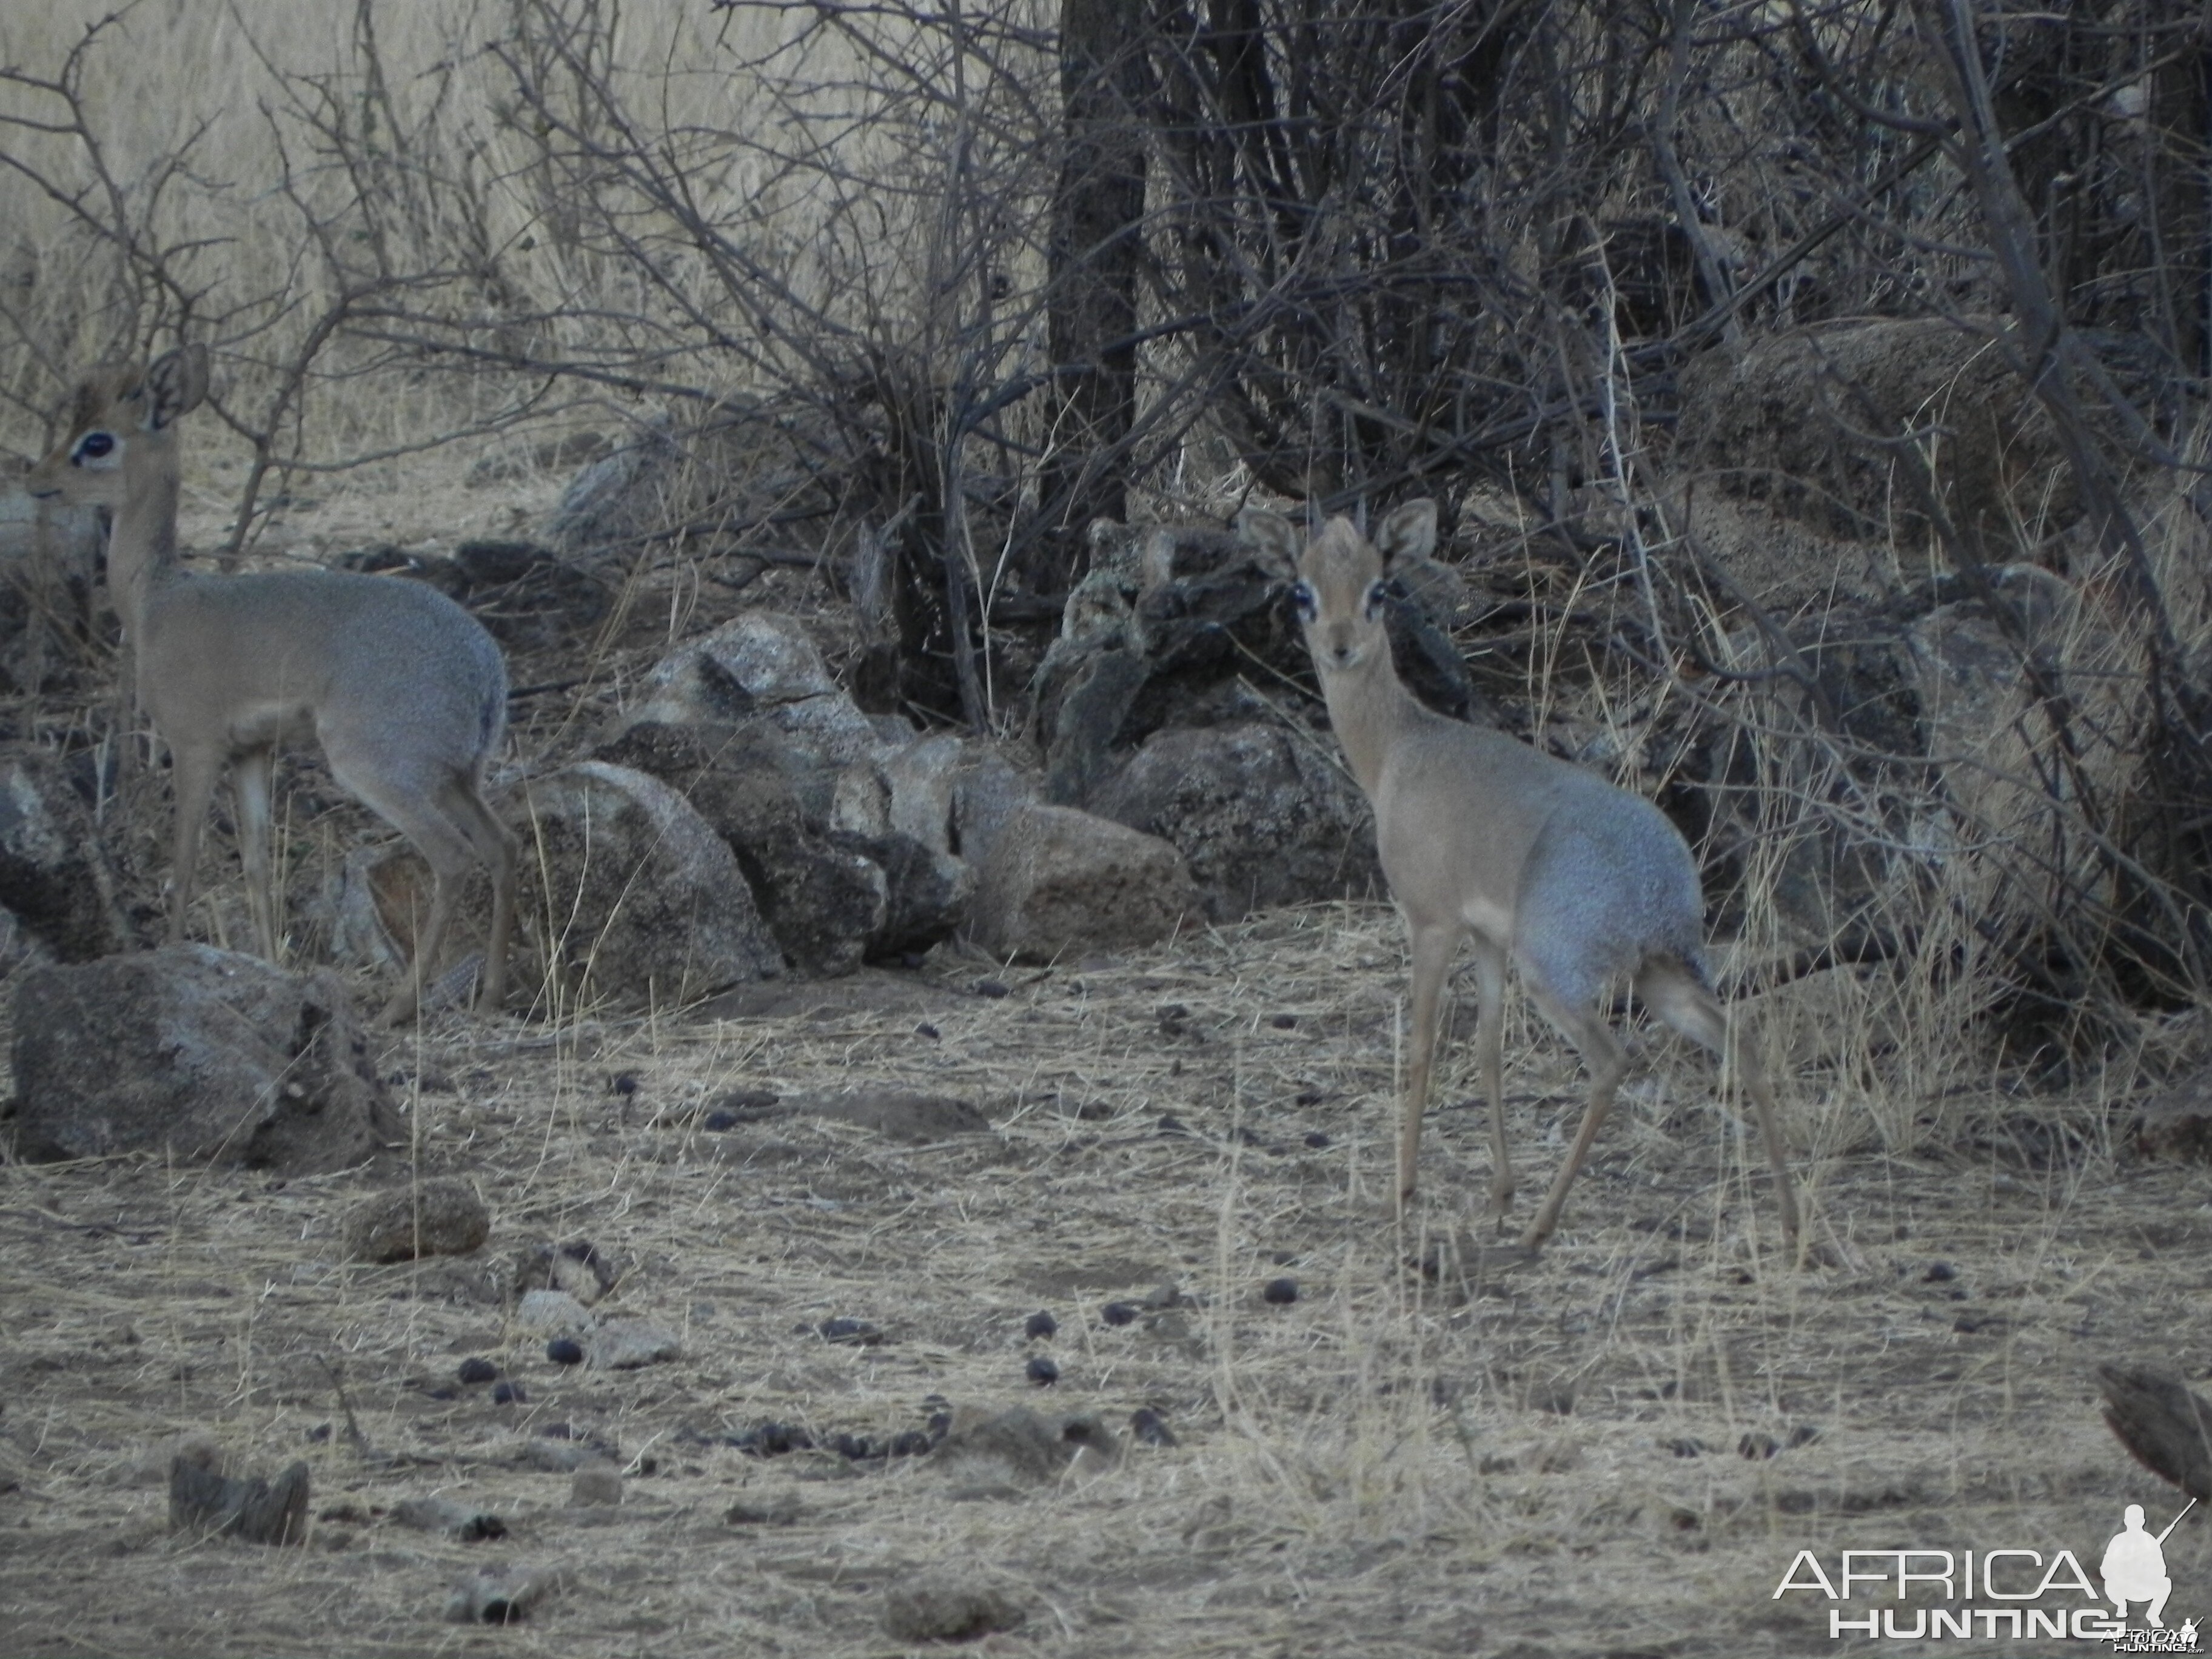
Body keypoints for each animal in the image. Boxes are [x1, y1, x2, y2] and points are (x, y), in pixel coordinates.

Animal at [31, 345, 517, 1026]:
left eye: (96, 441)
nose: (35, 479)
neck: (154, 602)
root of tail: (485, 672)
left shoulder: (194, 744)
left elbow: (185, 861)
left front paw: (174, 954)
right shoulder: (252, 752)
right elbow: (258, 863)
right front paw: (268, 968)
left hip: (377, 768)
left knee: (452, 857)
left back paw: (396, 1008)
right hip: (457, 776)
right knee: (503, 847)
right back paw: (493, 993)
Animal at [1247, 500, 1796, 1256]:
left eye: (1379, 589)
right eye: (1303, 591)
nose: (1340, 646)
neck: (1399, 750)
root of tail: (1659, 879)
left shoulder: (1431, 922)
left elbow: (1422, 1047)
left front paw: (1404, 1191)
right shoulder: (1486, 938)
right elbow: (1485, 1049)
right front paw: (1500, 1193)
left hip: (1558, 976)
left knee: (1613, 1061)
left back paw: (1542, 1225)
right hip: (1661, 975)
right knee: (1741, 1038)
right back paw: (1789, 1217)